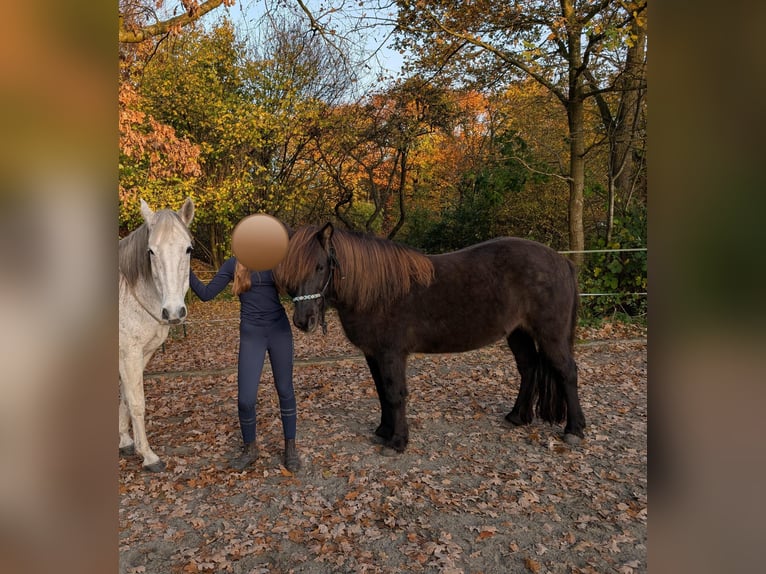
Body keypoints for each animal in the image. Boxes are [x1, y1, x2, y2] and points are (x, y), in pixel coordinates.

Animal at [119, 198, 194, 471]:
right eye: (151, 251)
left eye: (188, 249)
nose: (173, 312)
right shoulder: (128, 354)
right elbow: (137, 402)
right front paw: (148, 456)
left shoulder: (142, 354)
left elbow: (126, 398)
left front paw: (125, 441)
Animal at [274, 223, 585, 454]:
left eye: (320, 266)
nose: (303, 320)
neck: (377, 291)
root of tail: (562, 260)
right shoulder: (373, 353)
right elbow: (382, 392)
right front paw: (384, 431)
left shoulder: (391, 353)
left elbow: (395, 393)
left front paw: (397, 442)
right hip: (518, 333)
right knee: (528, 368)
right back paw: (517, 417)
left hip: (551, 335)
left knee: (567, 372)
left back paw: (574, 430)